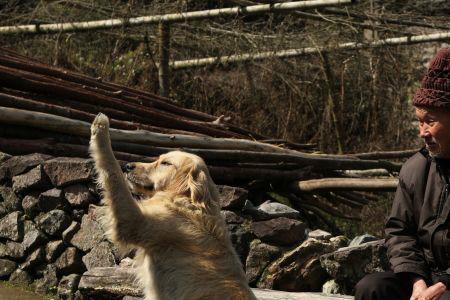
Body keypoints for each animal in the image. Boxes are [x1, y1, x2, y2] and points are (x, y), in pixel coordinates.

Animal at [89, 113, 256, 300]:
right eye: (159, 159)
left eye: (166, 163)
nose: (128, 166)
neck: (186, 198)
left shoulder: (146, 223)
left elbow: (114, 175)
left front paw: (101, 128)